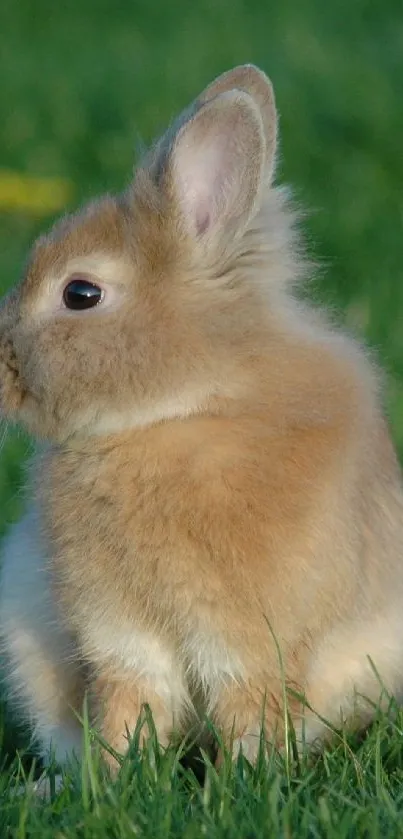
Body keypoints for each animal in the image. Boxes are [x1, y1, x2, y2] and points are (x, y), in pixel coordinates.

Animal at [0, 64, 403, 776]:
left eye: (81, 293)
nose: (0, 369)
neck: (181, 411)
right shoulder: (120, 636)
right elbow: (129, 701)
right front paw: (115, 778)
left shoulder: (250, 640)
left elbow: (246, 707)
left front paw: (247, 780)